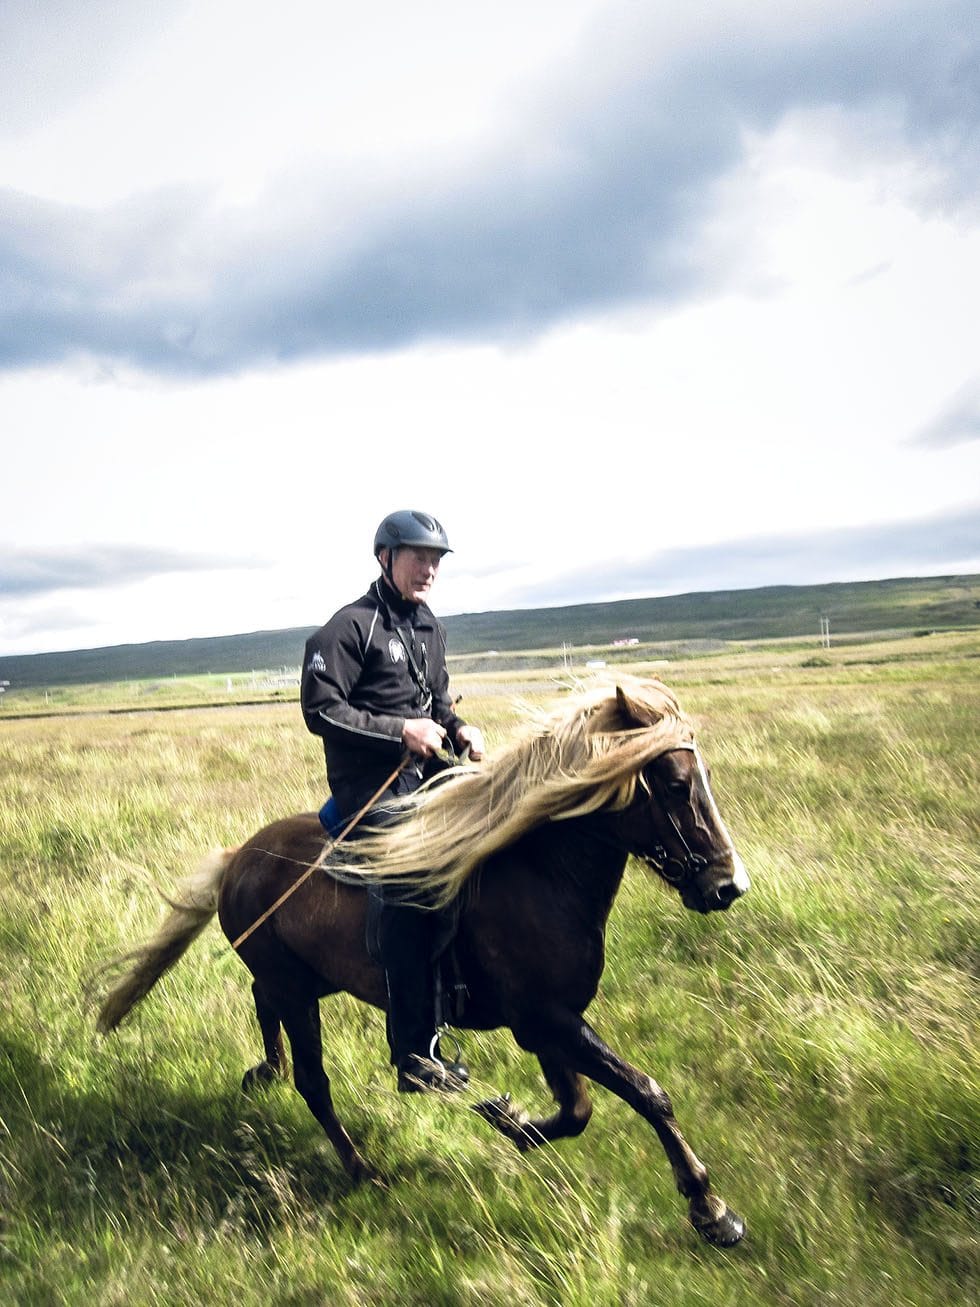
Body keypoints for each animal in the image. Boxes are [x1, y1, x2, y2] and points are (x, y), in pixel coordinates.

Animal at [96, 679, 752, 1249]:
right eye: (674, 784)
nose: (728, 886)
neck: (540, 872)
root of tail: (237, 859)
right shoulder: (545, 1019)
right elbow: (645, 1092)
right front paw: (710, 1207)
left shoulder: (546, 1024)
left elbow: (577, 1108)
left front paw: (510, 1121)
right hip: (299, 993)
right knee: (313, 1082)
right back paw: (361, 1166)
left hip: (309, 981)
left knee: (262, 1003)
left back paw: (268, 1070)